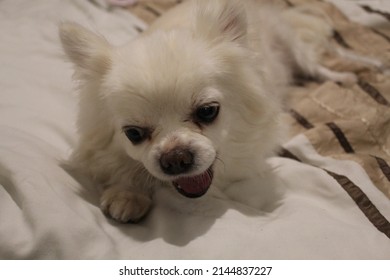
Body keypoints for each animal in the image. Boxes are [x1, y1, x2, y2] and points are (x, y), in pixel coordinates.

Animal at [59, 0, 364, 223]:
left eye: (207, 112)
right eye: (133, 133)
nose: (176, 159)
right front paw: (129, 193)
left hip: (293, 46)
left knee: (316, 67)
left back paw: (345, 78)